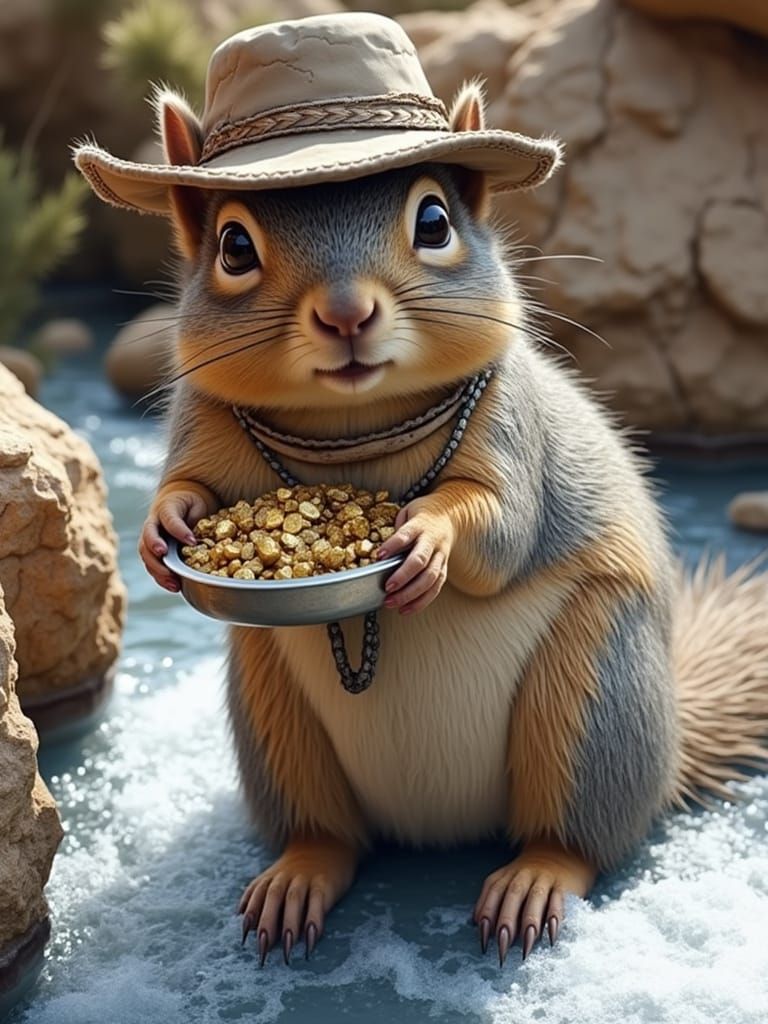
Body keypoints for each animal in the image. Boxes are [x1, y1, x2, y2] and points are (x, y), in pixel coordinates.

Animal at [77, 24, 768, 968]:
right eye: (233, 248)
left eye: (434, 221)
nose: (345, 316)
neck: (353, 426)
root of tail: (436, 827)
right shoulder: (201, 421)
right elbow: (187, 484)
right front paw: (161, 528)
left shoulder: (514, 432)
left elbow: (501, 525)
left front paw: (428, 540)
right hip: (274, 720)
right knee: (330, 834)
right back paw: (297, 881)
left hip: (596, 698)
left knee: (578, 837)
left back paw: (532, 881)